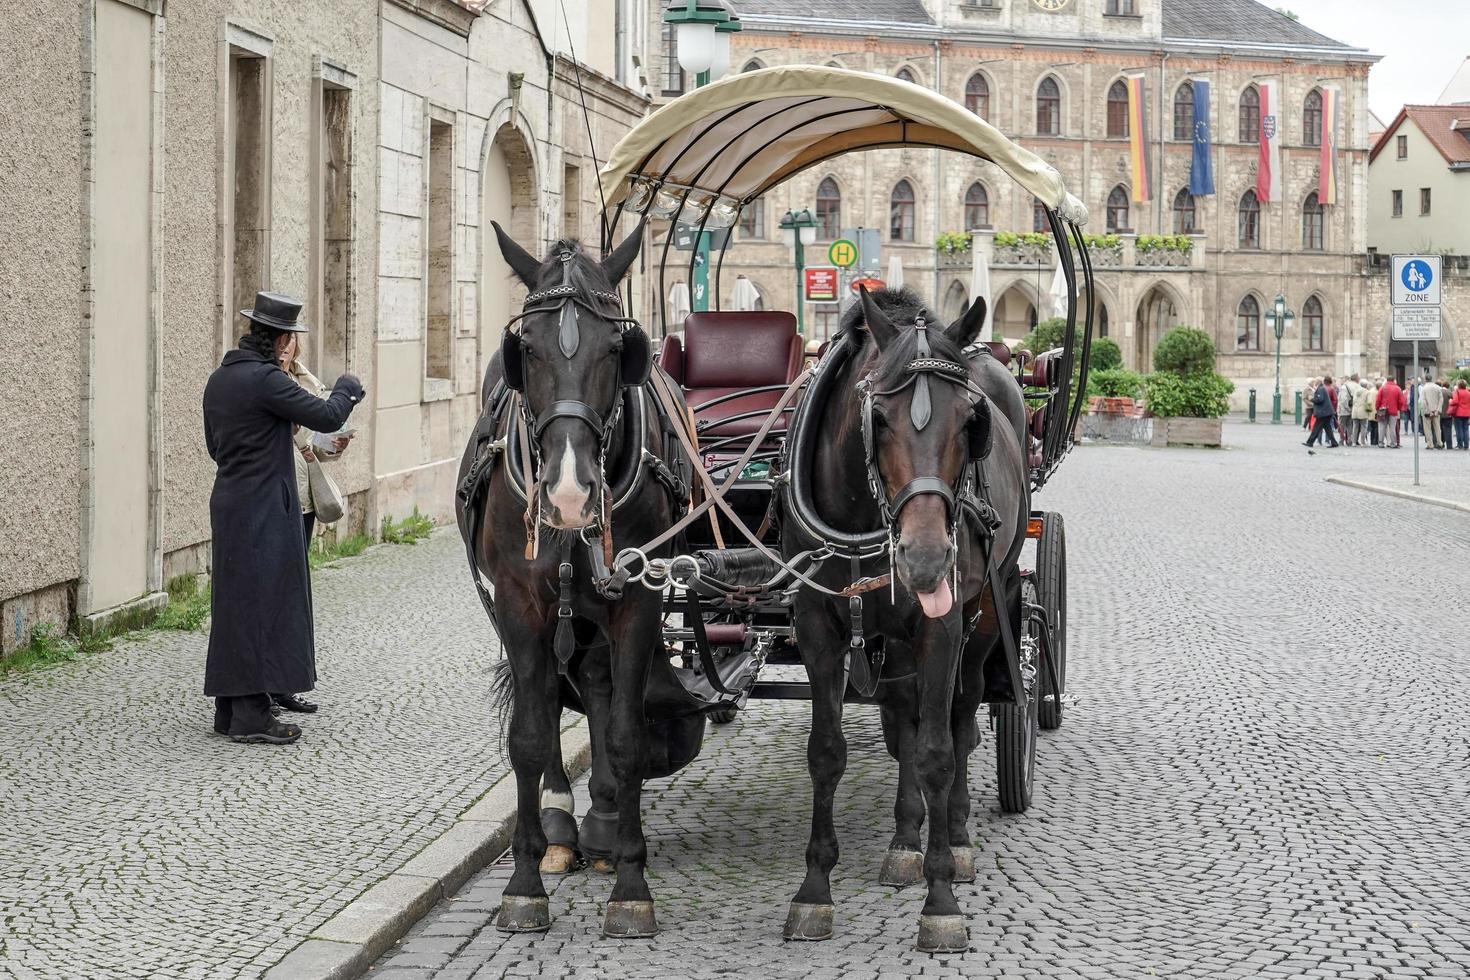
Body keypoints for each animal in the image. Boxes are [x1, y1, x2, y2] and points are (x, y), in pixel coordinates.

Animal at [452, 218, 693, 940]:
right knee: (558, 689)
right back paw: (563, 826)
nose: (565, 493)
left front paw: (631, 884)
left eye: (618, 347)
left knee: (596, 682)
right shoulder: (518, 603)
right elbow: (529, 735)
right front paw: (525, 882)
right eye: (525, 348)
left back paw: (606, 823)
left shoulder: (635, 598)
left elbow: (626, 731)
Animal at [776, 287, 1029, 952]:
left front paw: (939, 902)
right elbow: (828, 751)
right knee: (905, 719)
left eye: (971, 422)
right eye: (880, 419)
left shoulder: (942, 626)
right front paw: (813, 891)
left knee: (961, 711)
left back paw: (956, 838)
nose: (925, 559)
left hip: (985, 611)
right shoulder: (817, 627)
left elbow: (940, 751)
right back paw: (905, 841)